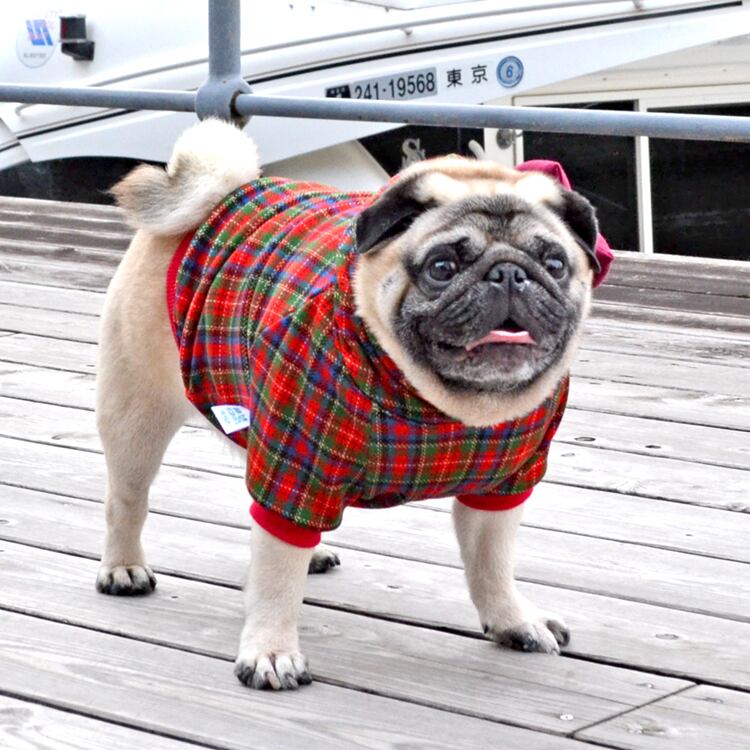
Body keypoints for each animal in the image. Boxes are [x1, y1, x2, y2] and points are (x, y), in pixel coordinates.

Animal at [96, 118, 611, 690]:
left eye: (554, 263)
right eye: (442, 266)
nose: (508, 274)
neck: (441, 405)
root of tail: (226, 191)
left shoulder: (501, 489)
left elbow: (492, 564)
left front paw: (513, 620)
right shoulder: (297, 462)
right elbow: (275, 578)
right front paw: (271, 650)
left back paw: (313, 549)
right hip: (137, 413)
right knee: (128, 500)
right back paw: (123, 568)